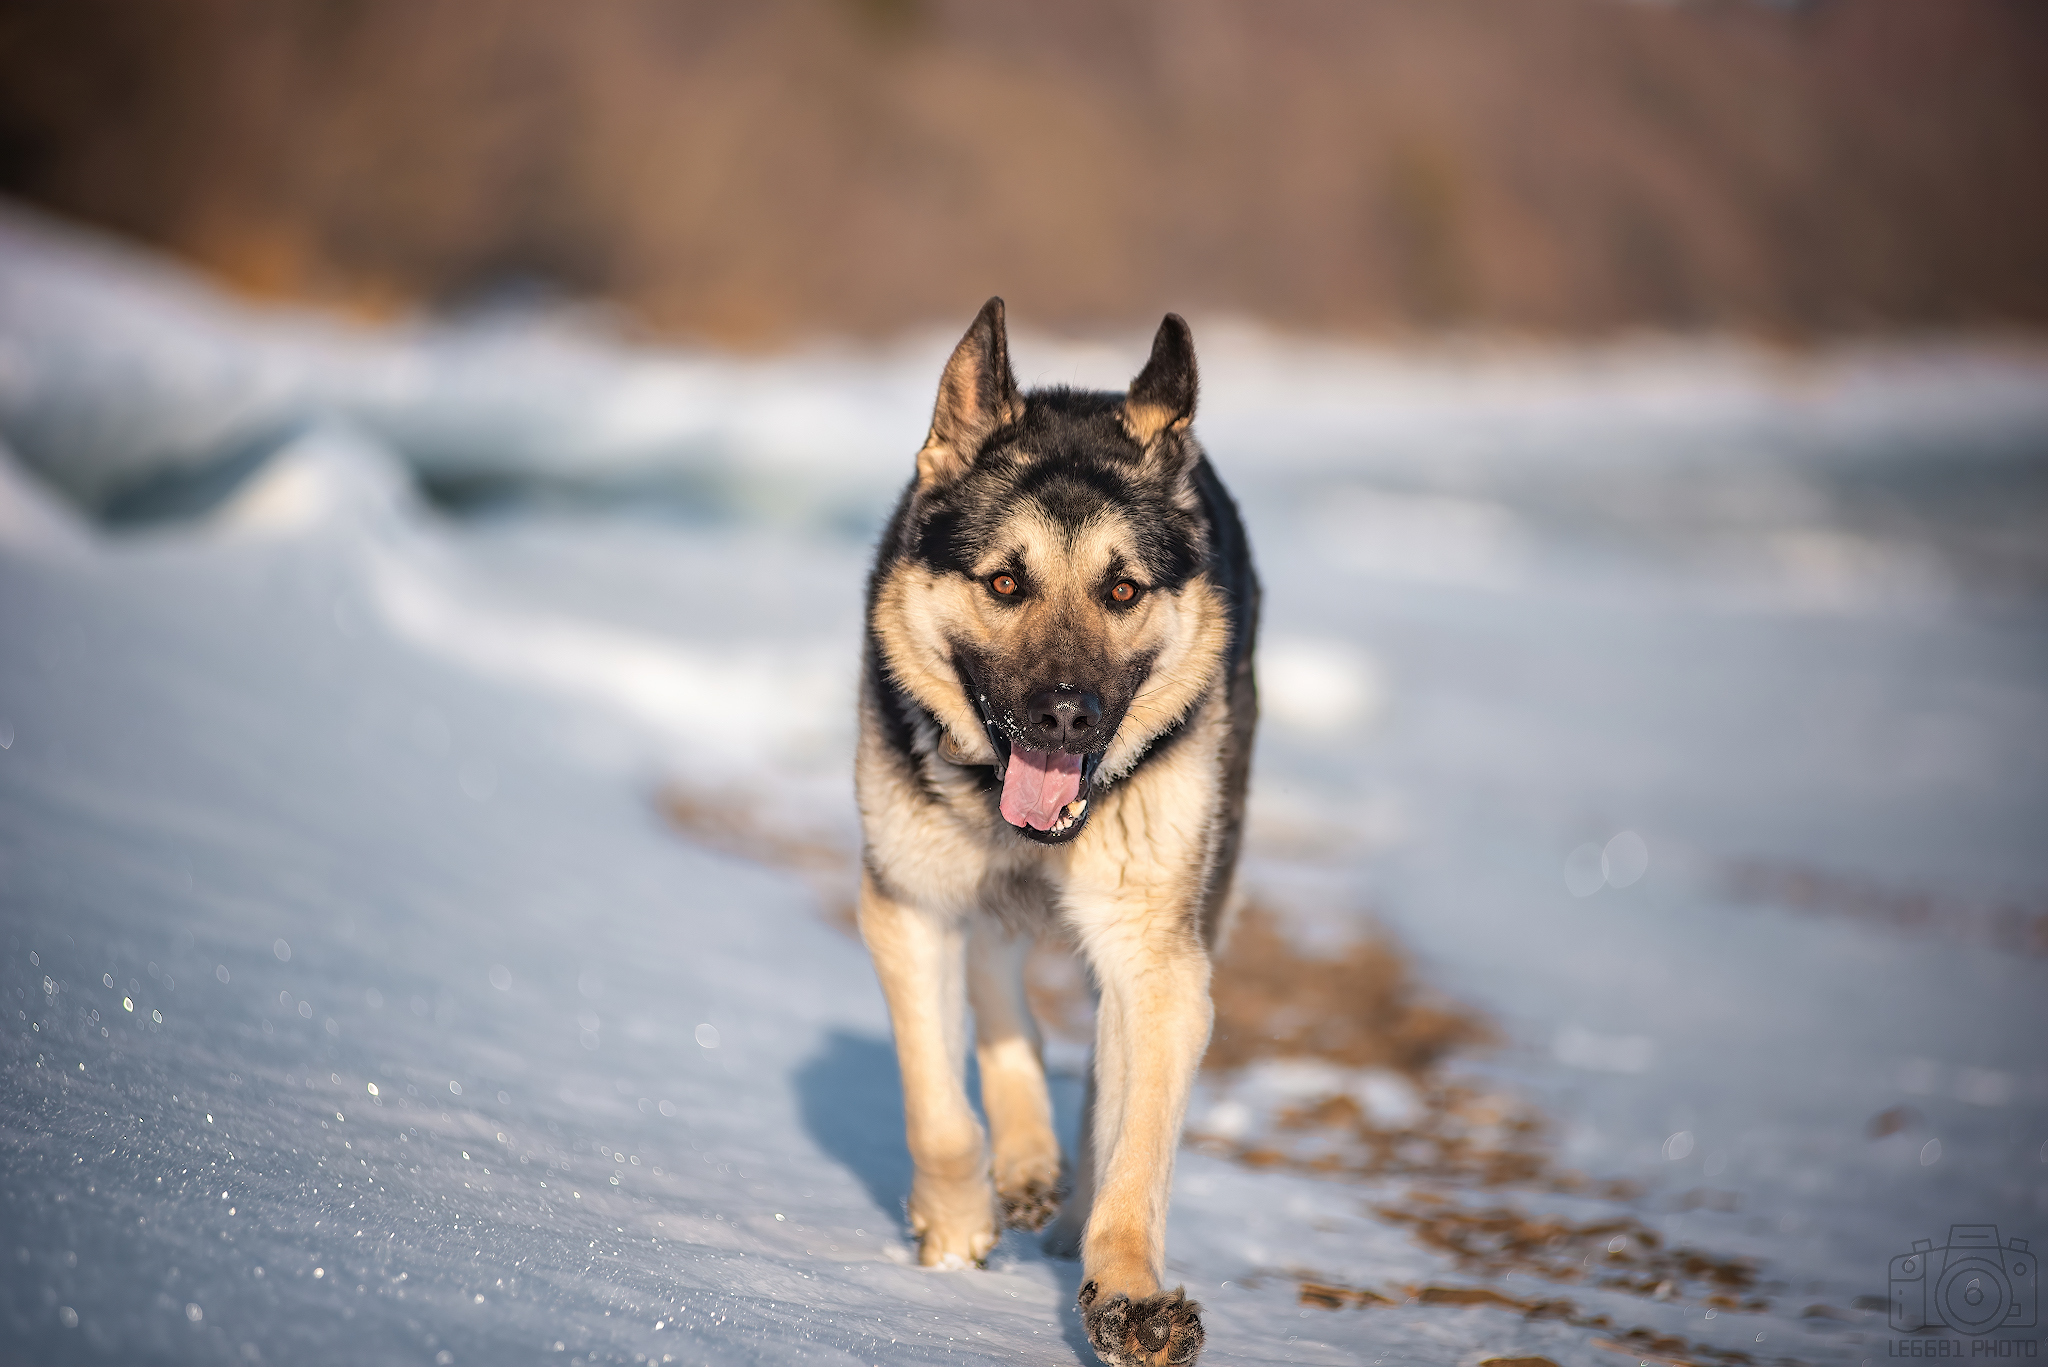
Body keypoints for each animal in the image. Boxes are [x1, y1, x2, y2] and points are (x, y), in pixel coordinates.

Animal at [856, 301, 1253, 1367]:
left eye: (1122, 591)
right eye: (1004, 583)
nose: (1067, 716)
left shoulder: (1160, 965)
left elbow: (1134, 1148)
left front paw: (1127, 1295)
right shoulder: (909, 905)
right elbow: (939, 1113)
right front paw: (954, 1236)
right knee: (999, 984)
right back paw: (1024, 1158)